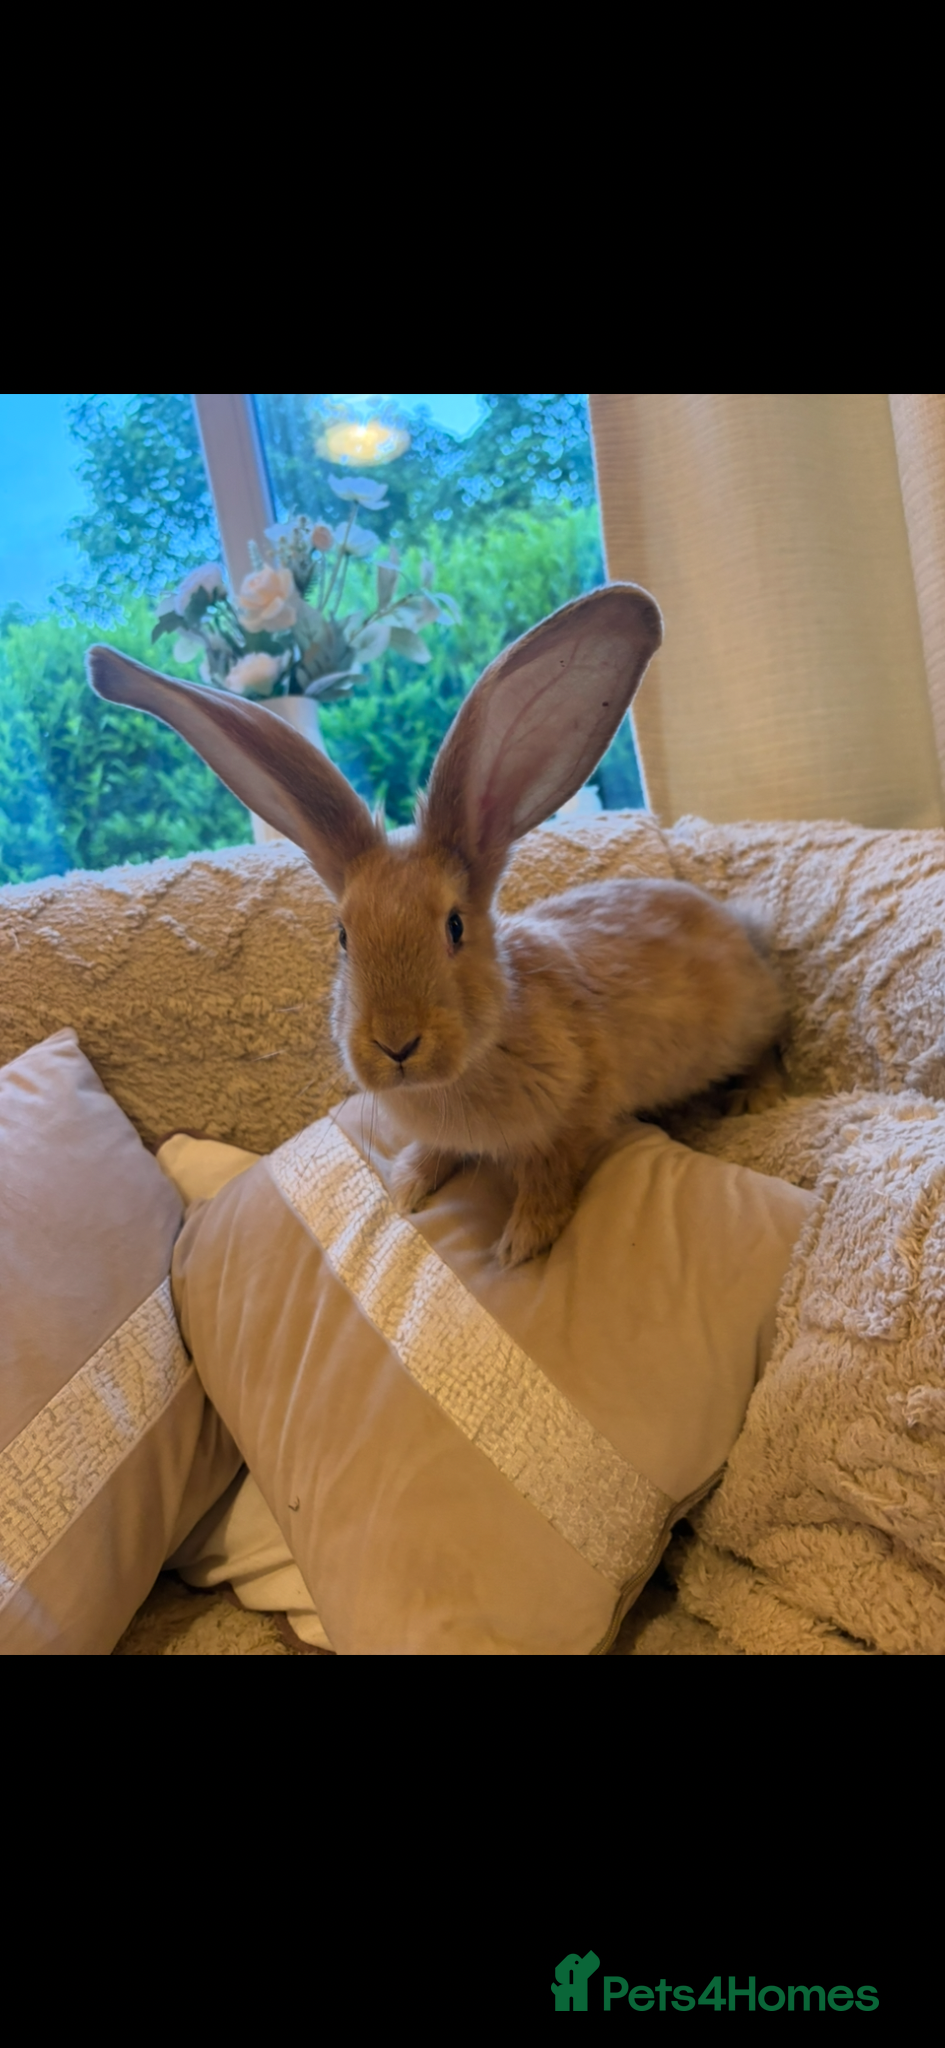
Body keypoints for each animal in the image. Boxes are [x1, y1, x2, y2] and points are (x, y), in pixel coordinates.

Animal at [87, 584, 786, 1267]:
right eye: (343, 936)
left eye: (454, 926)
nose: (395, 1045)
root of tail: (741, 929)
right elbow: (438, 1152)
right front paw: (408, 1184)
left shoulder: (578, 1114)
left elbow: (551, 1172)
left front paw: (523, 1240)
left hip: (746, 1025)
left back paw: (752, 1098)